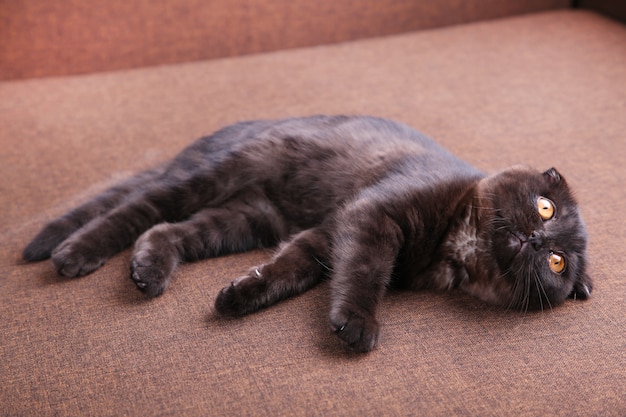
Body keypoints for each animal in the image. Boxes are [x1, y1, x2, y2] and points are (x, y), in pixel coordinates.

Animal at [22, 114, 588, 352]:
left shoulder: (325, 235)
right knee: (136, 209)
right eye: (546, 208)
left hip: (245, 219)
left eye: (558, 264)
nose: (539, 241)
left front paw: (240, 296)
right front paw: (357, 324)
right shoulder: (370, 218)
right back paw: (75, 253)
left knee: (166, 229)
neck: (459, 246)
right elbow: (364, 275)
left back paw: (148, 271)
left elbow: (288, 270)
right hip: (215, 175)